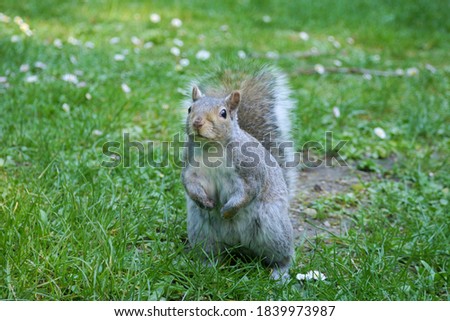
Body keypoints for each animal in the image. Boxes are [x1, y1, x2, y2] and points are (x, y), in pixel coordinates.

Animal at [181, 63, 298, 278]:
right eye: (189, 109)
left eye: (223, 113)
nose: (197, 122)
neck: (212, 148)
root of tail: (240, 247)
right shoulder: (191, 167)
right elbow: (189, 183)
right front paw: (204, 202)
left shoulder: (250, 172)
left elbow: (248, 192)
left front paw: (228, 210)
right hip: (202, 232)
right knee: (211, 252)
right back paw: (206, 265)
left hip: (274, 229)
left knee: (283, 255)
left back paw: (280, 271)